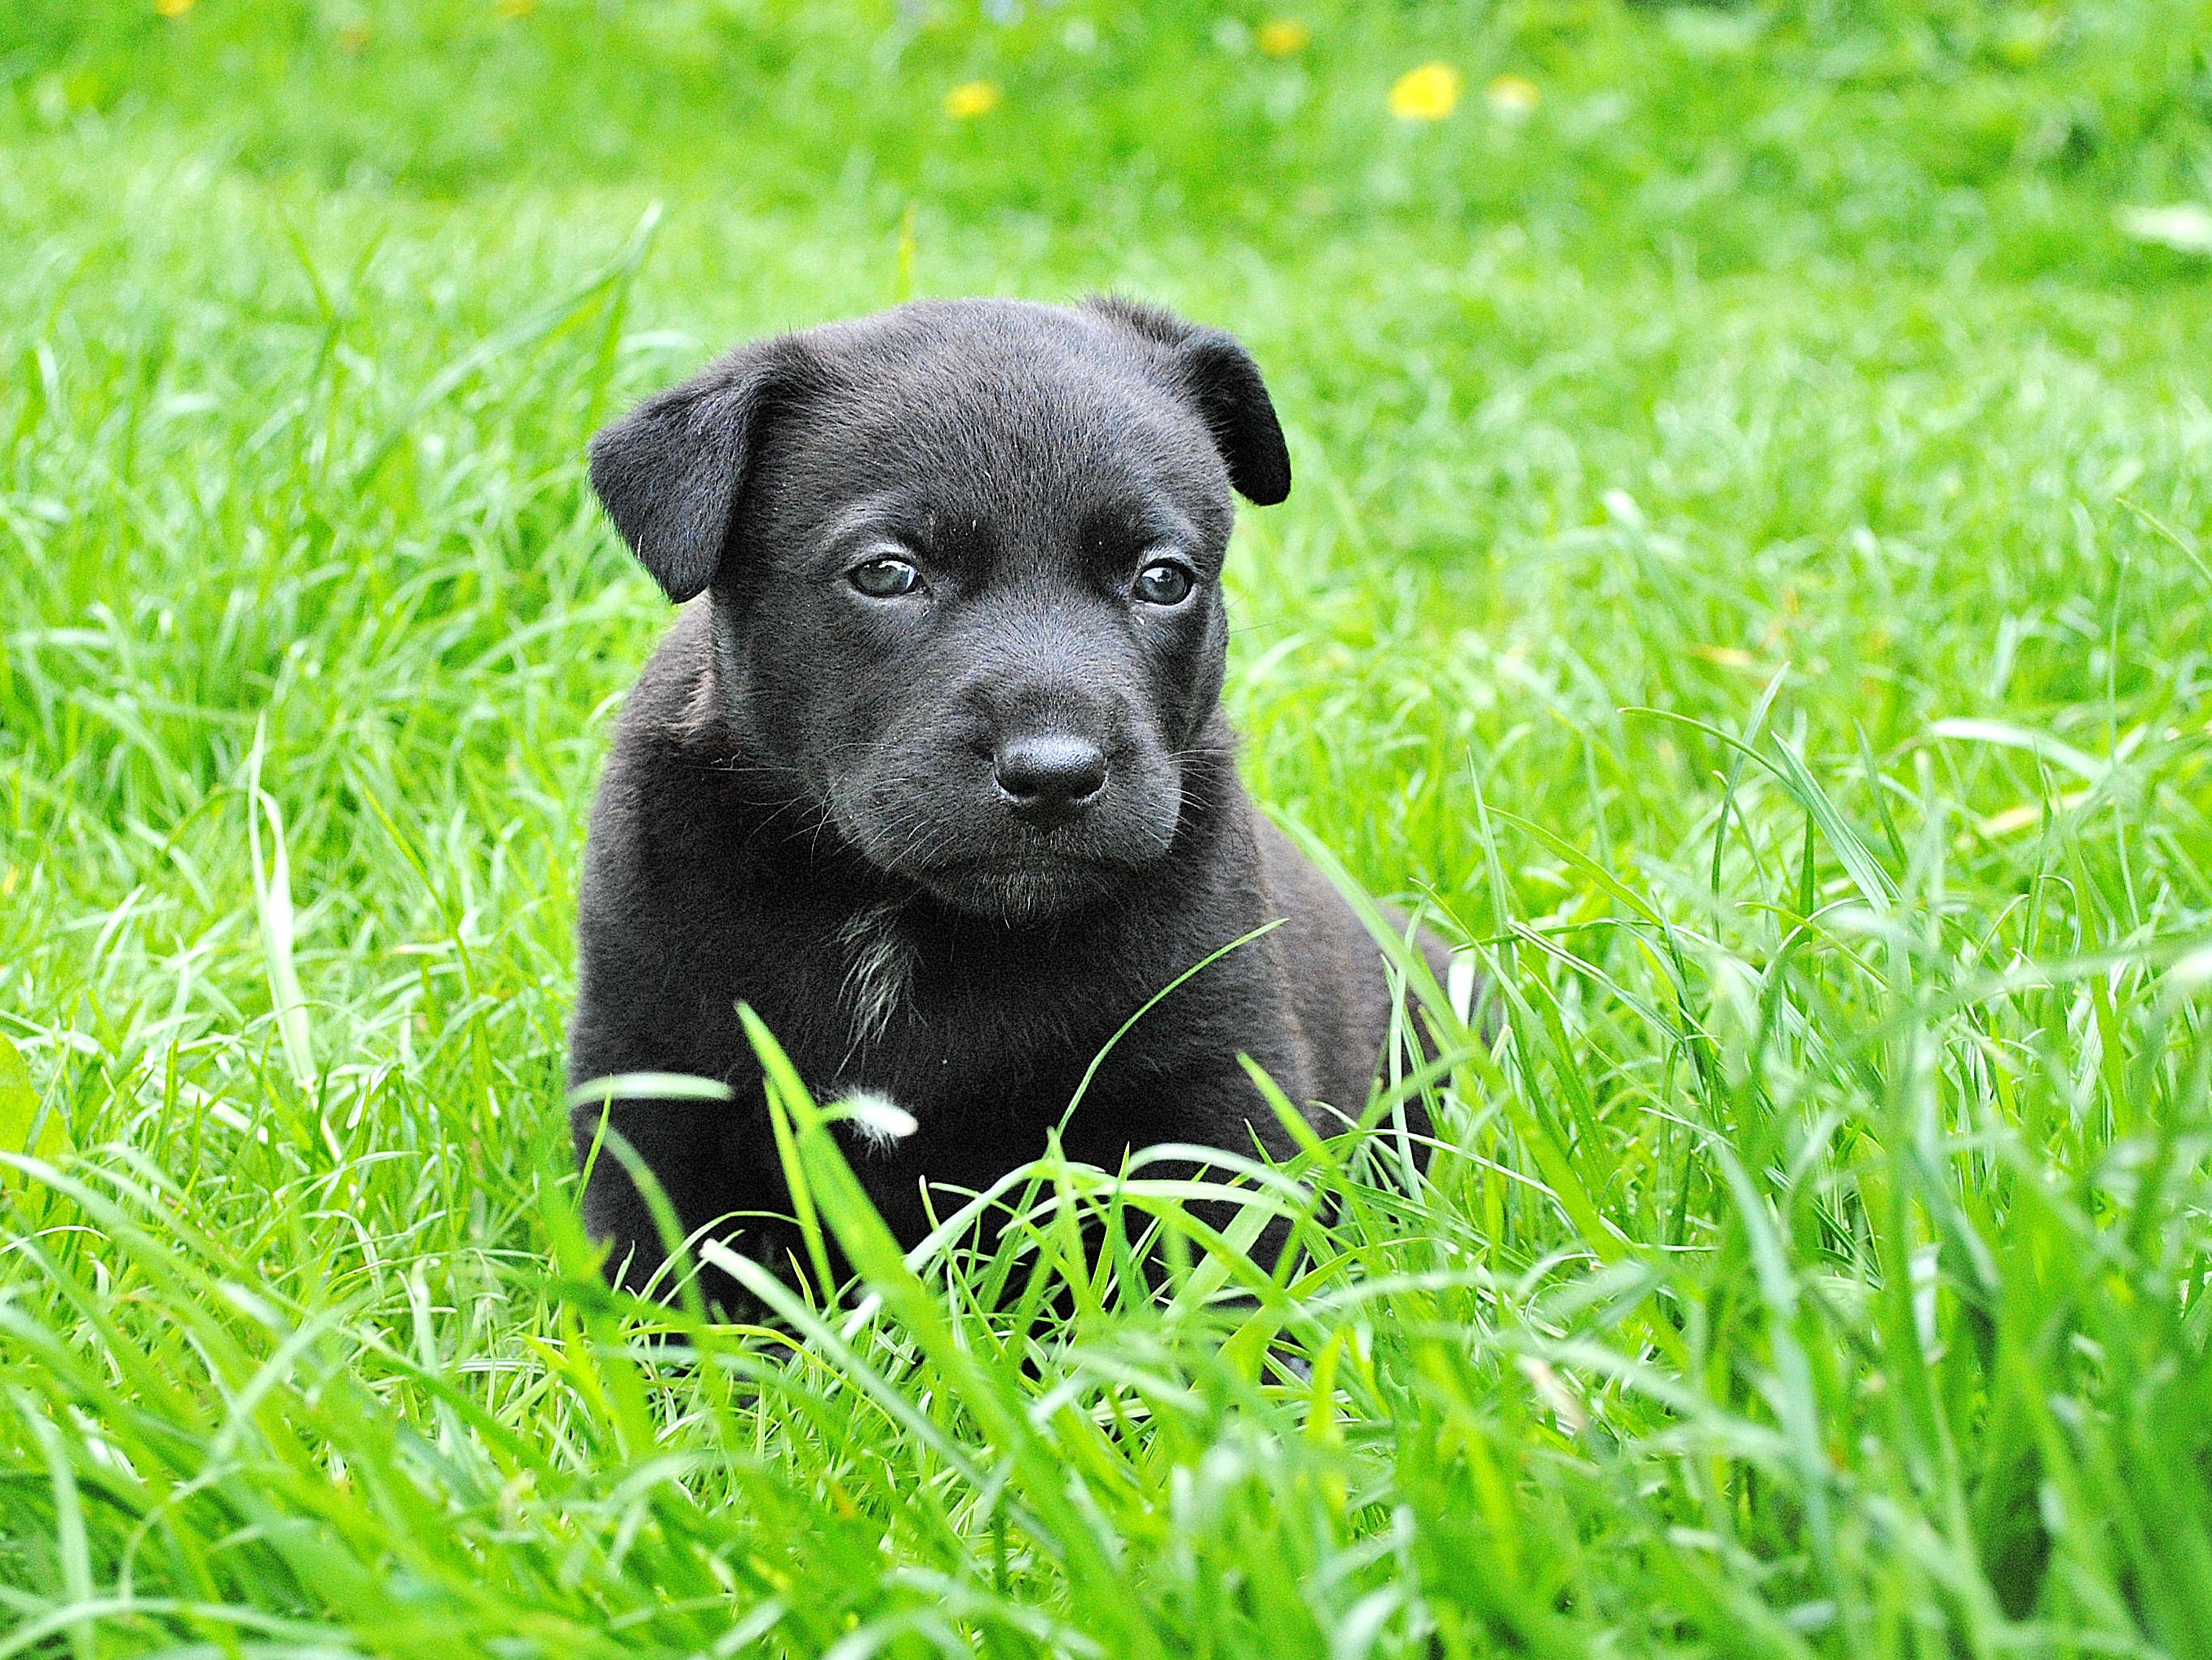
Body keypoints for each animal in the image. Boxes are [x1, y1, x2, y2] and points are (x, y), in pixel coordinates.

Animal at [566, 298, 1450, 1310]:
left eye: (1163, 577)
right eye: (887, 572)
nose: (1056, 773)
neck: (894, 913)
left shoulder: (1210, 1085)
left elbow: (1220, 1283)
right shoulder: (653, 1084)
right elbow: (670, 1288)